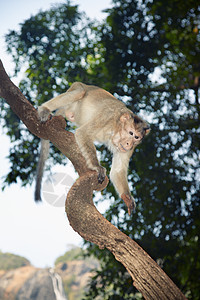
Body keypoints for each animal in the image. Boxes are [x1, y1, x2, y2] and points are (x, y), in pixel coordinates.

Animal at [35, 81, 150, 214]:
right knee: (80, 92)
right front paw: (97, 166)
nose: (128, 144)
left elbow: (117, 171)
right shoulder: (106, 117)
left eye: (136, 138)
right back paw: (44, 108)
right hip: (75, 88)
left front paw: (127, 198)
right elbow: (83, 133)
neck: (115, 128)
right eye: (131, 133)